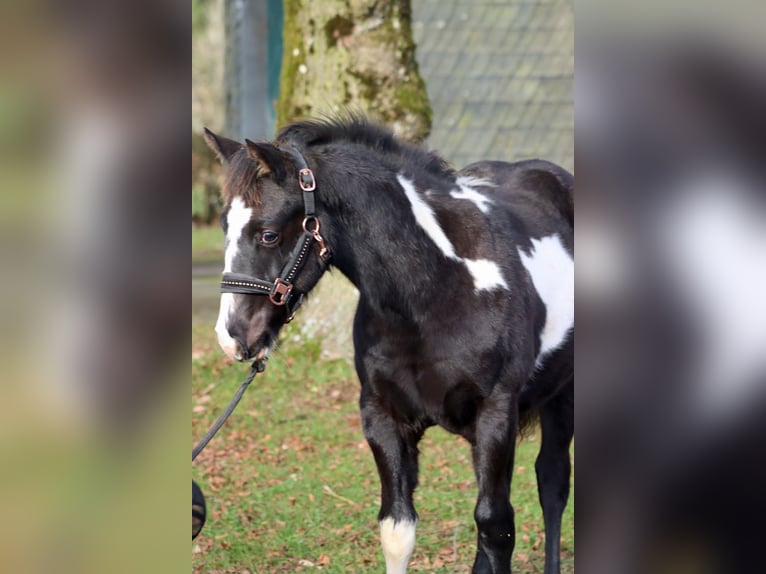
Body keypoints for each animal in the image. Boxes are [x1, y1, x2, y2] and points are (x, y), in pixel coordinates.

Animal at [203, 116, 574, 574]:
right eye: (225, 228)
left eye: (269, 235)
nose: (232, 335)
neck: (435, 291)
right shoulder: (383, 416)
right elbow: (398, 530)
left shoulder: (496, 413)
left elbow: (497, 528)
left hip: (560, 399)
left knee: (552, 483)